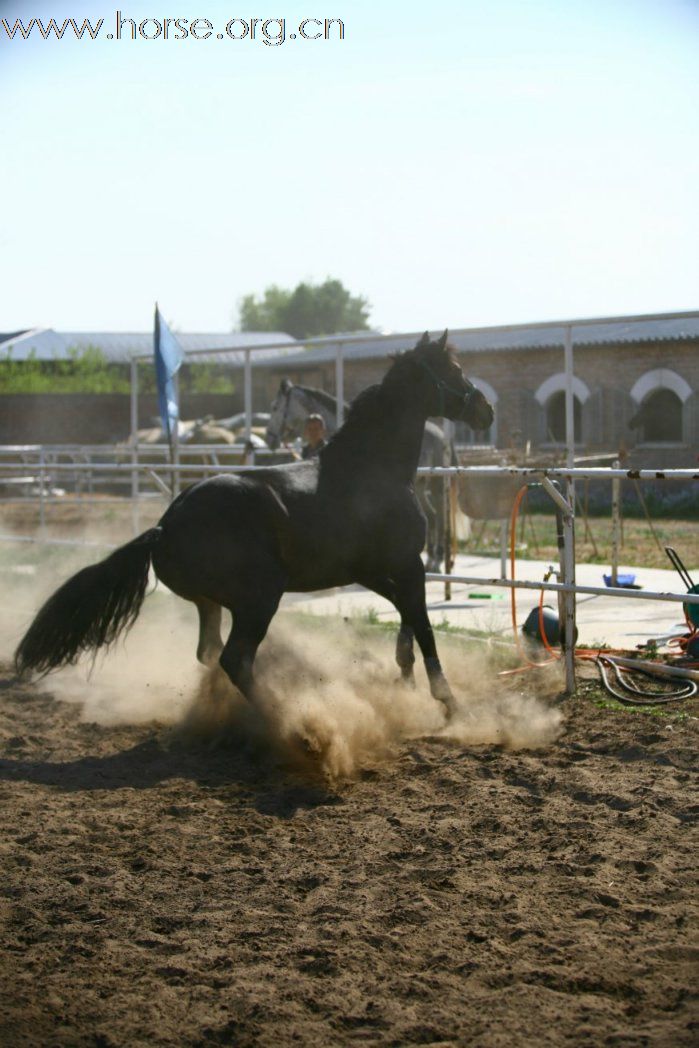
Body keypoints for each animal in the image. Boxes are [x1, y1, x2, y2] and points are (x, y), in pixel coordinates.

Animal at [15, 333, 492, 721]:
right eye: (454, 370)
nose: (484, 409)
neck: (373, 468)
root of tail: (164, 527)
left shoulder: (373, 570)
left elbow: (406, 612)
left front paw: (405, 675)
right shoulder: (406, 562)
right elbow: (423, 622)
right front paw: (449, 702)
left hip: (212, 603)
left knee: (210, 653)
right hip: (259, 599)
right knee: (234, 660)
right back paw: (290, 721)